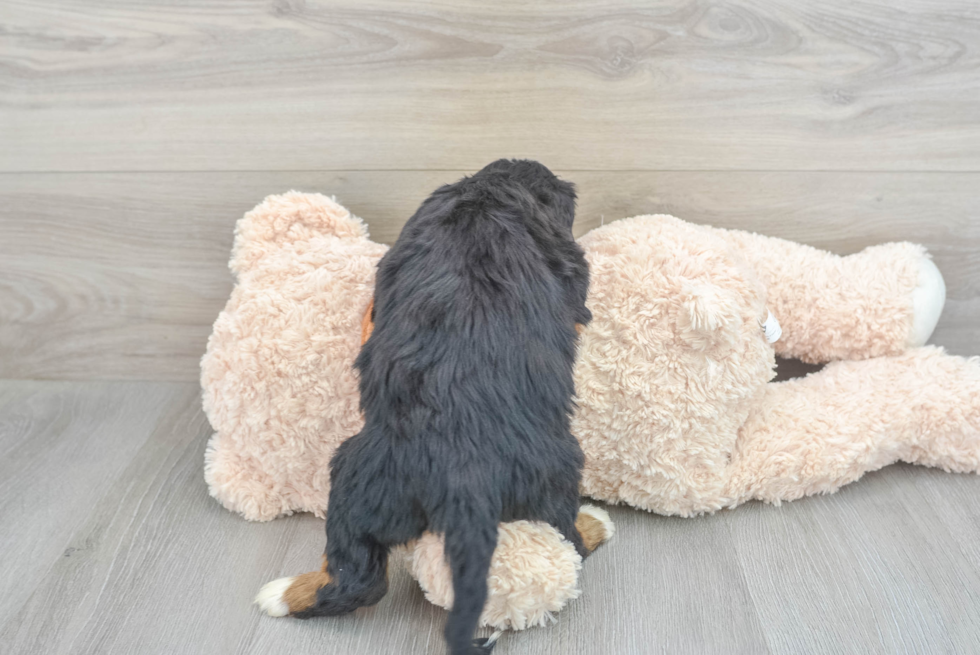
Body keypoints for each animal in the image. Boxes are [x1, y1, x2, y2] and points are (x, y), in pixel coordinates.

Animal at [255, 160, 604, 655]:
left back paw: (285, 595)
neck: (487, 196)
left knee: (357, 579)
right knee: (569, 542)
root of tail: (467, 475)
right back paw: (596, 524)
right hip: (556, 475)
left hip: (356, 481)